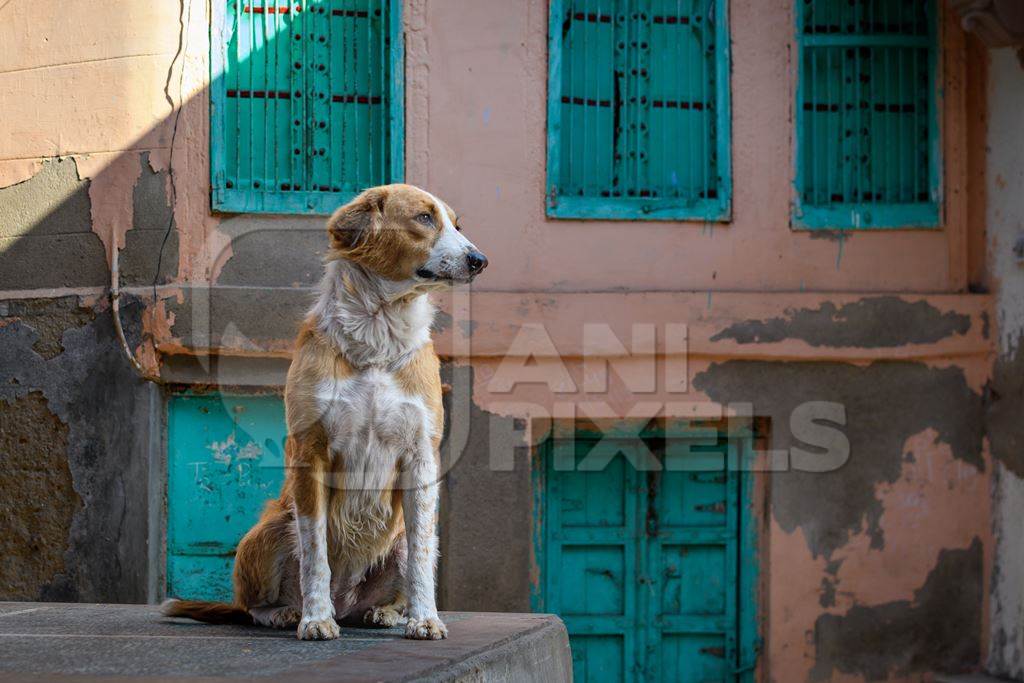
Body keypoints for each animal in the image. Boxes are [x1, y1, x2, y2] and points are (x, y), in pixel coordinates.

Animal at [162, 183, 487, 643]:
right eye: (425, 218)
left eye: (457, 224)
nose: (479, 260)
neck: (379, 335)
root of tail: (348, 600)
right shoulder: (310, 453)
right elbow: (314, 552)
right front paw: (315, 618)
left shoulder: (421, 456)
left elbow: (423, 557)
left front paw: (425, 618)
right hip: (267, 531)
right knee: (250, 605)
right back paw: (286, 612)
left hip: (394, 540)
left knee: (401, 565)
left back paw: (384, 612)